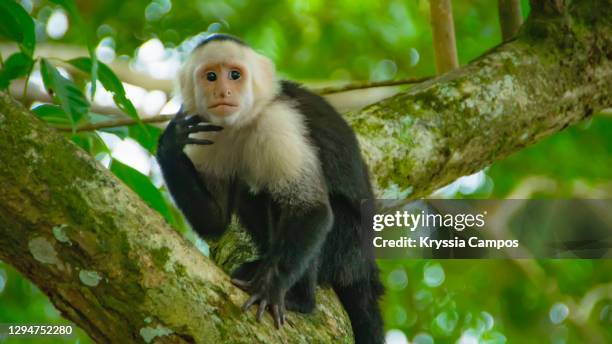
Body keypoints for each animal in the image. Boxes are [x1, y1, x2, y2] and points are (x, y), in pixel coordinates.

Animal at [157, 33, 382, 342]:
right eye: (211, 76)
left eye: (235, 75)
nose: (224, 92)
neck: (243, 122)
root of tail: (366, 266)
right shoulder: (207, 134)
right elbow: (214, 220)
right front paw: (170, 142)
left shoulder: (278, 122)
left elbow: (310, 209)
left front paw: (270, 289)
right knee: (249, 193)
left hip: (348, 245)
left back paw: (301, 298)